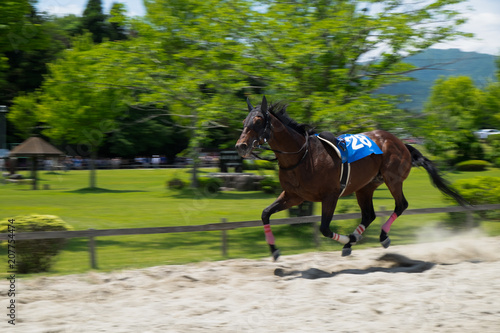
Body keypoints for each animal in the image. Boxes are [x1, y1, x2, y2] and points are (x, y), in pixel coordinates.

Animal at [236, 96, 466, 260]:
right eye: (244, 120)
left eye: (258, 120)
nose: (241, 146)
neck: (303, 156)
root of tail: (401, 142)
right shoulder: (294, 195)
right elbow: (265, 214)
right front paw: (274, 250)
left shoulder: (330, 196)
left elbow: (324, 228)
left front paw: (347, 238)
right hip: (365, 187)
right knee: (369, 215)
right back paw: (352, 241)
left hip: (393, 180)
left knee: (401, 205)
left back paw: (380, 237)